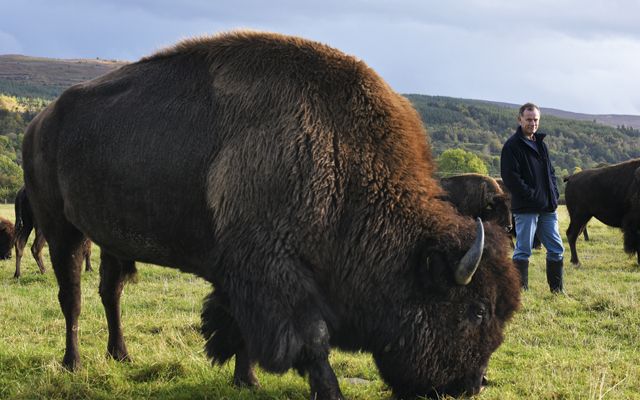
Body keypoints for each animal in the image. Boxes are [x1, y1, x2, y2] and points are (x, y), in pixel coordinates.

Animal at [22, 31, 520, 400]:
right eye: (476, 310)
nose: (472, 385)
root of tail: (39, 122)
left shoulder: (245, 276)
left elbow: (242, 331)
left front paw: (246, 380)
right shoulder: (274, 276)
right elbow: (311, 339)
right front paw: (328, 392)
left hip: (109, 239)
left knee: (111, 292)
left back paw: (120, 355)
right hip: (62, 229)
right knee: (72, 295)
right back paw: (73, 364)